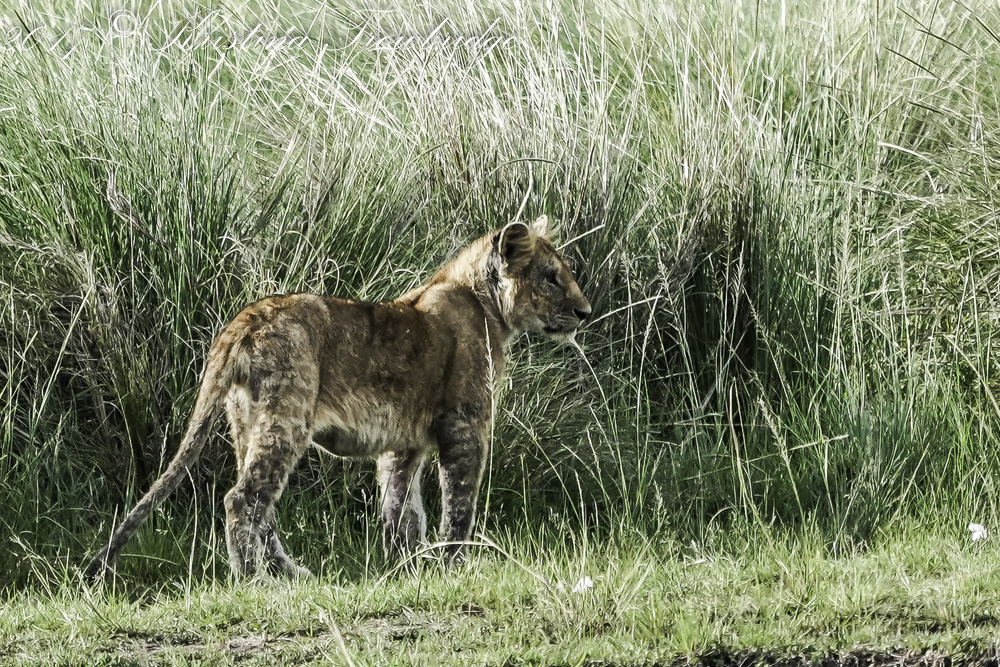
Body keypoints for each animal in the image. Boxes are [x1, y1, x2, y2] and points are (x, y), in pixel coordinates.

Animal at [85, 215, 591, 581]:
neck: (484, 303)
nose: (584, 312)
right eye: (551, 277)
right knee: (242, 500)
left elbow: (402, 507)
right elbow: (459, 503)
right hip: (286, 417)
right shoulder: (465, 423)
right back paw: (254, 582)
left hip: (245, 422)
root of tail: (244, 319)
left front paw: (405, 565)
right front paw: (453, 565)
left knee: (263, 509)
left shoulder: (403, 443)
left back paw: (294, 576)